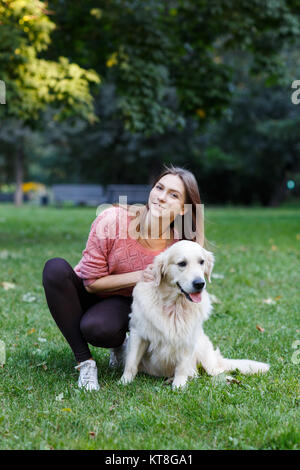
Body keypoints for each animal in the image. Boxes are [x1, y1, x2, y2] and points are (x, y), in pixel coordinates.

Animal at [119, 241, 270, 388]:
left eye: (201, 262)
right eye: (182, 263)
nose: (200, 283)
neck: (175, 305)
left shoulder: (189, 337)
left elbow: (182, 366)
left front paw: (179, 385)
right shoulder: (138, 333)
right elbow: (131, 362)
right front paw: (124, 381)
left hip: (205, 352)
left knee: (213, 371)